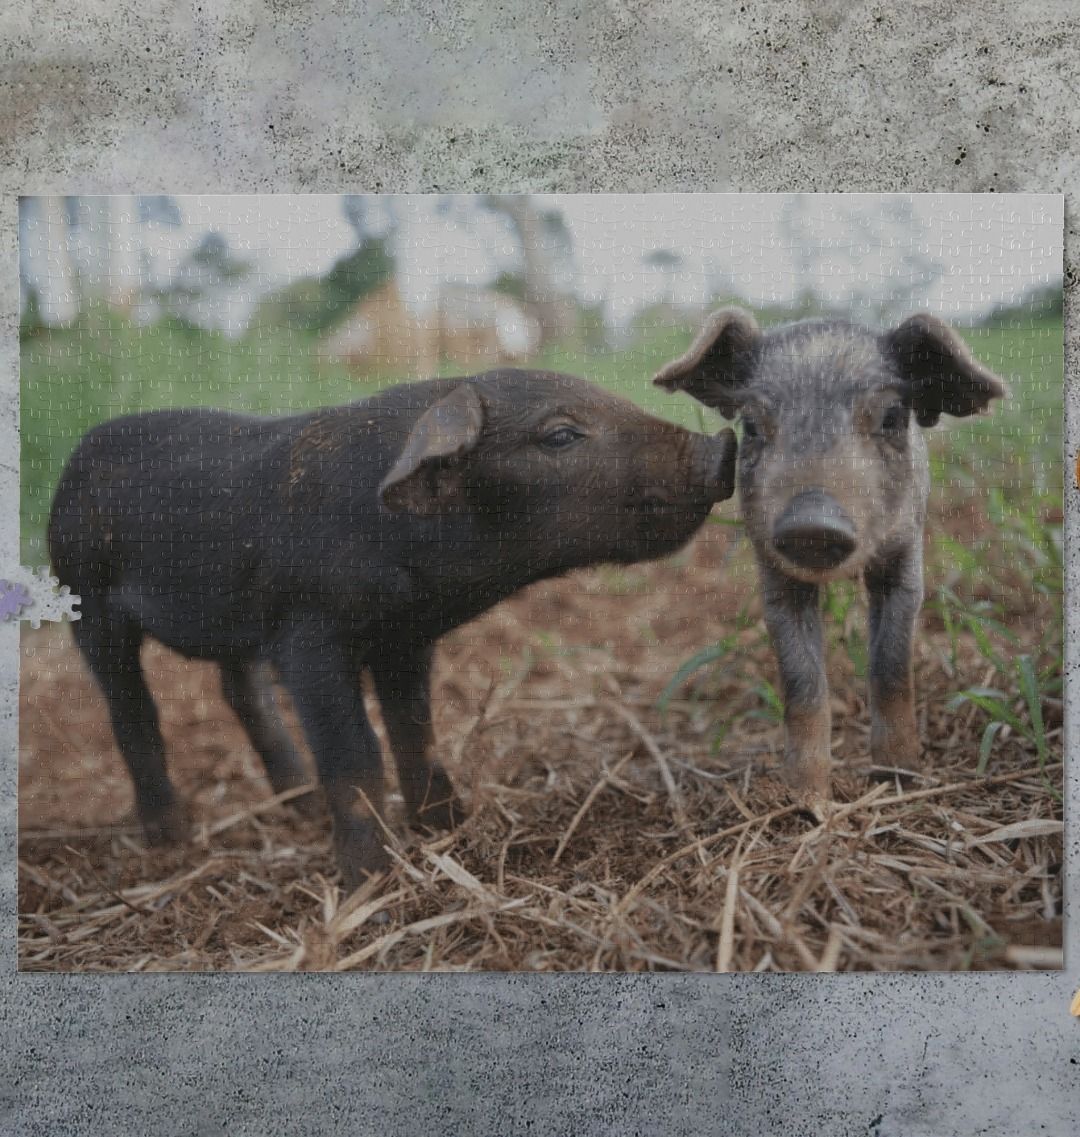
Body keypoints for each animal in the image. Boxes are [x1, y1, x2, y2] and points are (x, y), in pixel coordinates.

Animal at [48, 370, 737, 887]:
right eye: (561, 435)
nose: (723, 446)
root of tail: (75, 455)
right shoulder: (310, 636)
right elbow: (355, 756)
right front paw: (370, 881)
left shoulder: (404, 639)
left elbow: (417, 732)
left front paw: (450, 828)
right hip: (85, 594)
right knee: (130, 707)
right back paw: (170, 838)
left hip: (233, 622)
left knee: (241, 691)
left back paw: (298, 805)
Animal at [654, 309, 1008, 809]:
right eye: (752, 426)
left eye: (892, 417)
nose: (812, 522)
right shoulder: (774, 574)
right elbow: (801, 683)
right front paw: (807, 797)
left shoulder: (904, 557)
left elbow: (891, 667)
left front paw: (901, 776)